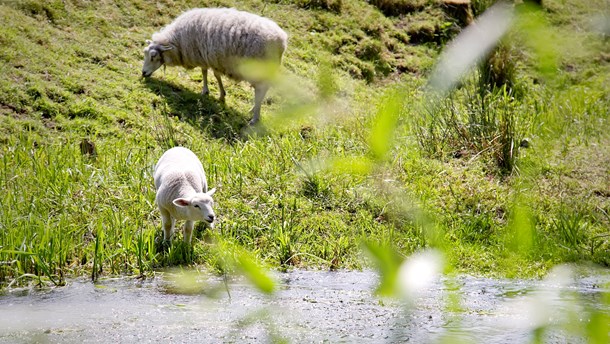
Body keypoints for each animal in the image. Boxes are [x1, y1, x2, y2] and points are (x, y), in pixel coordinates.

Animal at [140, 7, 288, 125]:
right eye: (145, 53)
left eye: (153, 56)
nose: (143, 73)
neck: (178, 42)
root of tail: (281, 41)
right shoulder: (211, 58)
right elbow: (213, 75)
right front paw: (221, 95)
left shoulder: (203, 56)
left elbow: (206, 73)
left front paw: (207, 92)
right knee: (262, 90)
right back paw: (253, 109)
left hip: (258, 69)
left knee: (261, 90)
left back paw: (254, 118)